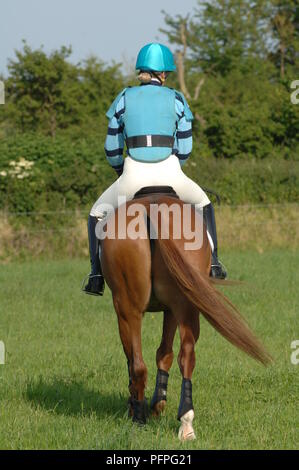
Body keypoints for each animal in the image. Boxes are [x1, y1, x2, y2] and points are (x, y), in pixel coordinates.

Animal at [100, 186, 272, 440]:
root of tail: (152, 207)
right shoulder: (172, 309)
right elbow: (165, 354)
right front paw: (158, 404)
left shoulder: (132, 310)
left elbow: (139, 358)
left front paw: (143, 406)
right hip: (185, 304)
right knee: (186, 355)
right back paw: (186, 422)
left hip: (129, 308)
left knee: (138, 364)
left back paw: (139, 419)